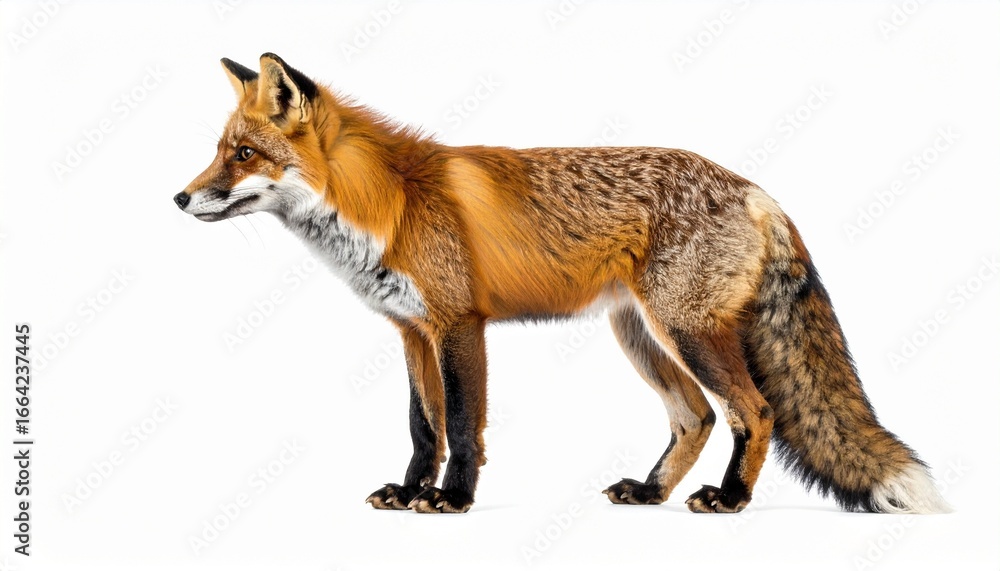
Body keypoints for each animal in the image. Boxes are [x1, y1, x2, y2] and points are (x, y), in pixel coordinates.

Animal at [175, 53, 950, 515]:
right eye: (219, 150)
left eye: (243, 155)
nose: (179, 199)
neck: (385, 204)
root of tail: (754, 189)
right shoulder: (411, 330)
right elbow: (423, 426)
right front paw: (409, 489)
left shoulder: (459, 325)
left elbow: (463, 425)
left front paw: (453, 500)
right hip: (639, 334)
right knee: (696, 417)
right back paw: (650, 491)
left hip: (686, 331)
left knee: (753, 412)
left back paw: (729, 499)